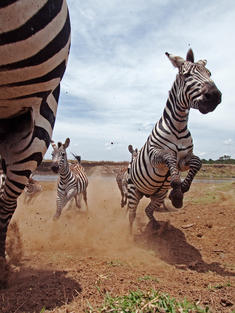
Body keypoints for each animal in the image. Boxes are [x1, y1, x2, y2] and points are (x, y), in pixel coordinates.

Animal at [127, 48, 221, 233]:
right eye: (186, 75)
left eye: (209, 73)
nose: (214, 96)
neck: (178, 126)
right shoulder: (156, 156)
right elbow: (169, 157)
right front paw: (177, 189)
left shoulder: (183, 161)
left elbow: (197, 162)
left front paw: (181, 191)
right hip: (133, 192)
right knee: (131, 215)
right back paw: (129, 235)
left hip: (158, 195)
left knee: (148, 210)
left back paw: (155, 228)